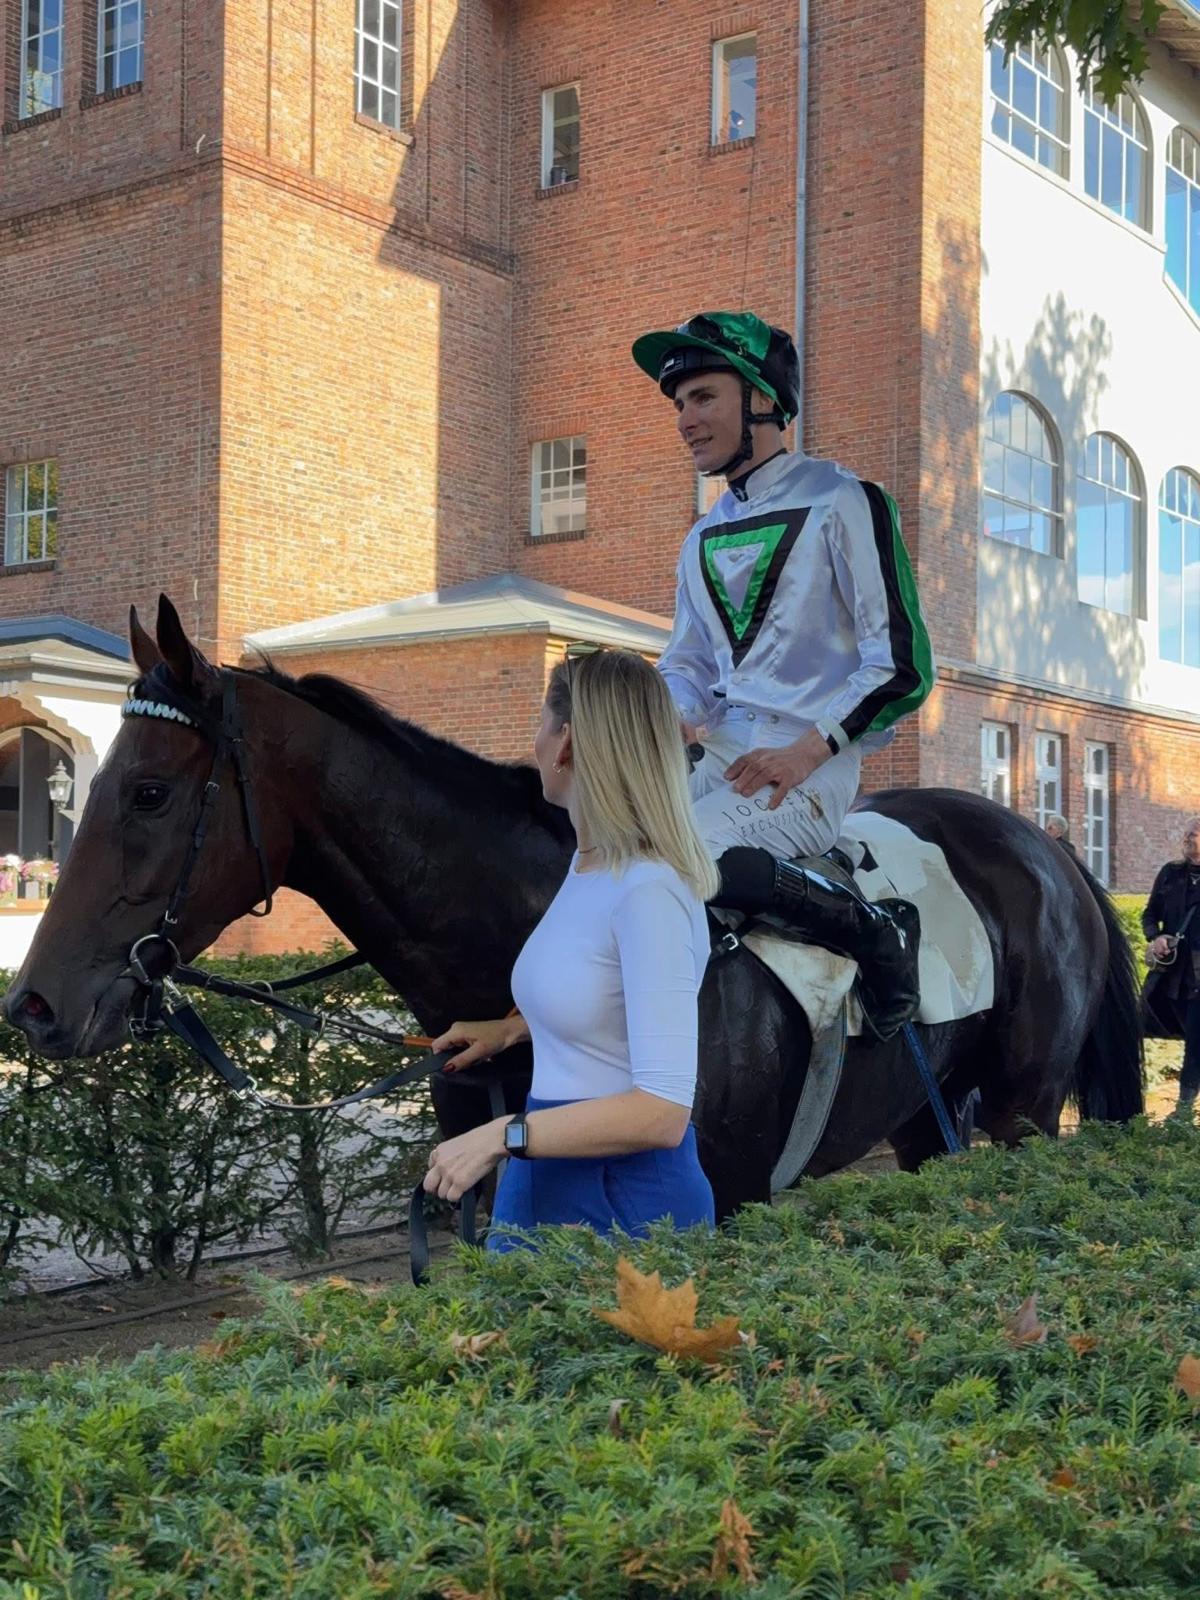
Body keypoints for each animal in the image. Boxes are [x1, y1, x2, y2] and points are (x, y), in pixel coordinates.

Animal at [4, 597, 1143, 1219]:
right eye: (88, 784)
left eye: (149, 791)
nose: (35, 1005)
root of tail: (1049, 845)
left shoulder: (717, 1201)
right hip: (924, 1121)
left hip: (1024, 1110)